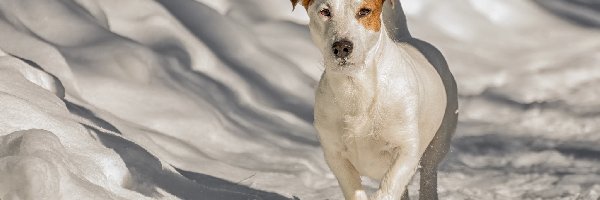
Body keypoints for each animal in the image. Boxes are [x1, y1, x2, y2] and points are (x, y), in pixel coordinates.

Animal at [292, 0, 458, 199]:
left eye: (364, 11)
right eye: (325, 11)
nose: (342, 47)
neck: (357, 89)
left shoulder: (406, 148)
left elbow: (389, 185)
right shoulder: (335, 154)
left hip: (439, 141)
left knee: (429, 171)